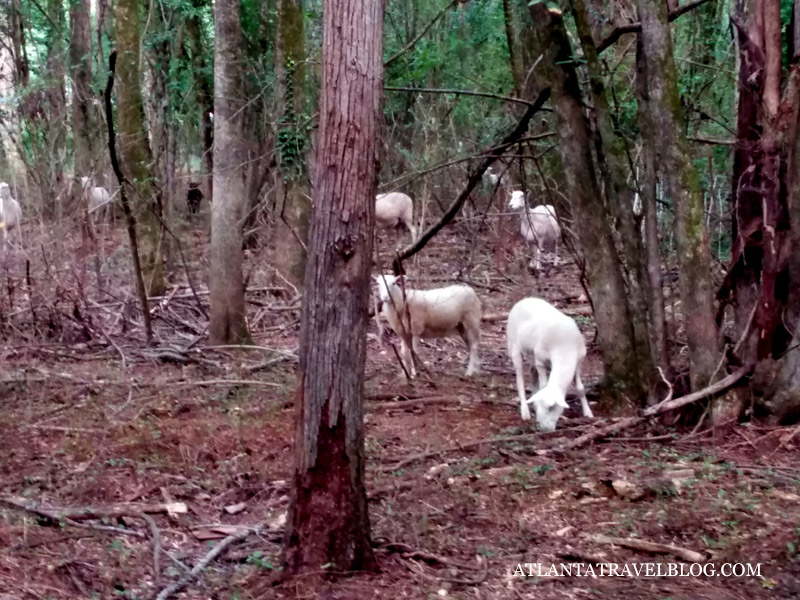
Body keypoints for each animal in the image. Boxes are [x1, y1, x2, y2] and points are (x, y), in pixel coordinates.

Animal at [506, 296, 592, 428]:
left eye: (551, 408)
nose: (543, 428)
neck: (563, 348)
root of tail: (525, 299)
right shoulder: (541, 362)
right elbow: (543, 386)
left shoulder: (578, 361)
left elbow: (580, 388)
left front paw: (588, 413)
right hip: (514, 347)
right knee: (519, 379)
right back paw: (525, 411)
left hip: (532, 356)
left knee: (532, 375)